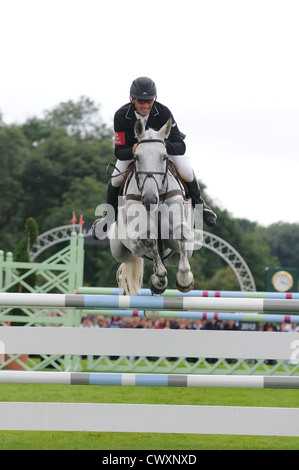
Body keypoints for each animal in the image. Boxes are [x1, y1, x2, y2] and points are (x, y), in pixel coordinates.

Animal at [109, 119, 196, 300]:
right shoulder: (136, 240)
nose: (149, 199)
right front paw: (159, 280)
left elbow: (181, 236)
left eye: (164, 157)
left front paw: (185, 280)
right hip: (118, 250)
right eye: (137, 157)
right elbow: (149, 239)